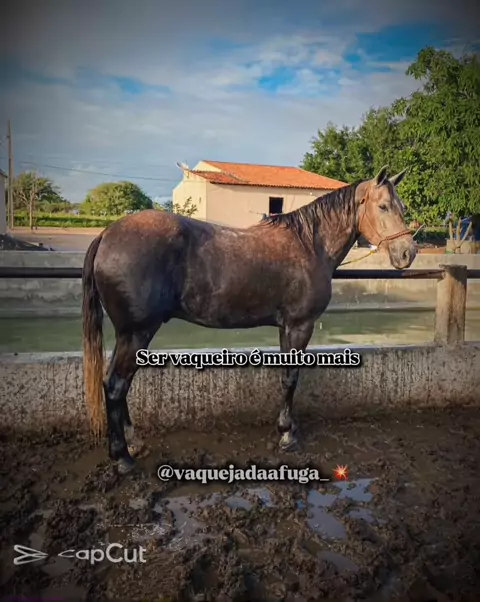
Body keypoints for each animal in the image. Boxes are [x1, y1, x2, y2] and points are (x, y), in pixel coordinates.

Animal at [82, 165, 416, 474]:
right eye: (383, 206)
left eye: (401, 207)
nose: (407, 253)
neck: (309, 245)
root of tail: (106, 234)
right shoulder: (300, 326)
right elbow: (291, 377)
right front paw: (287, 435)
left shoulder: (286, 327)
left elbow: (285, 375)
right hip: (137, 332)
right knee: (116, 386)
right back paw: (123, 458)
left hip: (128, 334)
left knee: (114, 383)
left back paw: (133, 441)